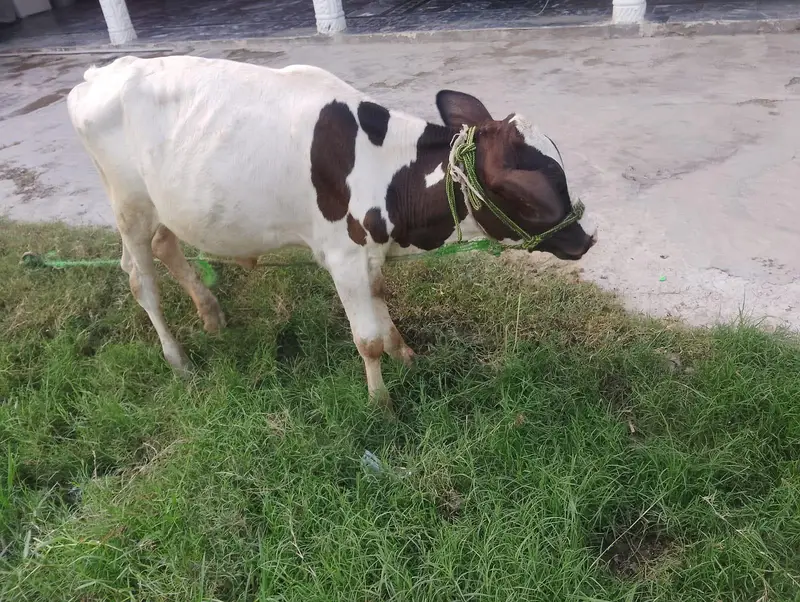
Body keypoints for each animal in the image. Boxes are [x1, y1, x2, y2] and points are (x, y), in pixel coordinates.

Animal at [66, 55, 597, 411]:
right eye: (519, 188)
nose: (585, 238)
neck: (385, 170)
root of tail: (100, 74)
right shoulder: (343, 255)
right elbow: (366, 339)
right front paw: (382, 404)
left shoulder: (370, 251)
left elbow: (383, 306)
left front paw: (407, 354)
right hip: (129, 207)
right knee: (140, 280)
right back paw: (179, 360)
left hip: (164, 205)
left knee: (166, 247)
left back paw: (212, 315)